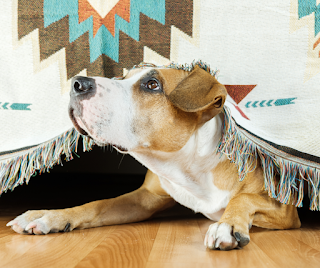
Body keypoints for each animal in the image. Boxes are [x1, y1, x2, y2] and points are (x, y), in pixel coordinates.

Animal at [6, 63, 300, 250]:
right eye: (122, 78)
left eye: (152, 84)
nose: (77, 82)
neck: (189, 166)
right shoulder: (145, 198)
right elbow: (97, 204)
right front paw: (50, 216)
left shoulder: (283, 208)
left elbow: (243, 198)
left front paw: (227, 226)